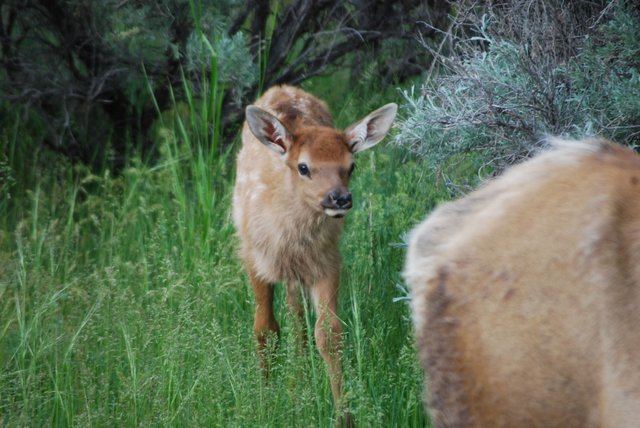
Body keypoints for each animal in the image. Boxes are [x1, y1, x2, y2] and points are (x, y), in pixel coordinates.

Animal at [232, 84, 398, 408]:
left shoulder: (327, 261)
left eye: (351, 165)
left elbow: (329, 334)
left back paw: (300, 381)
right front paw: (265, 401)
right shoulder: (255, 259)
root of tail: (283, 87)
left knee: (298, 319)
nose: (340, 198)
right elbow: (264, 329)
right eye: (303, 167)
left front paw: (343, 410)